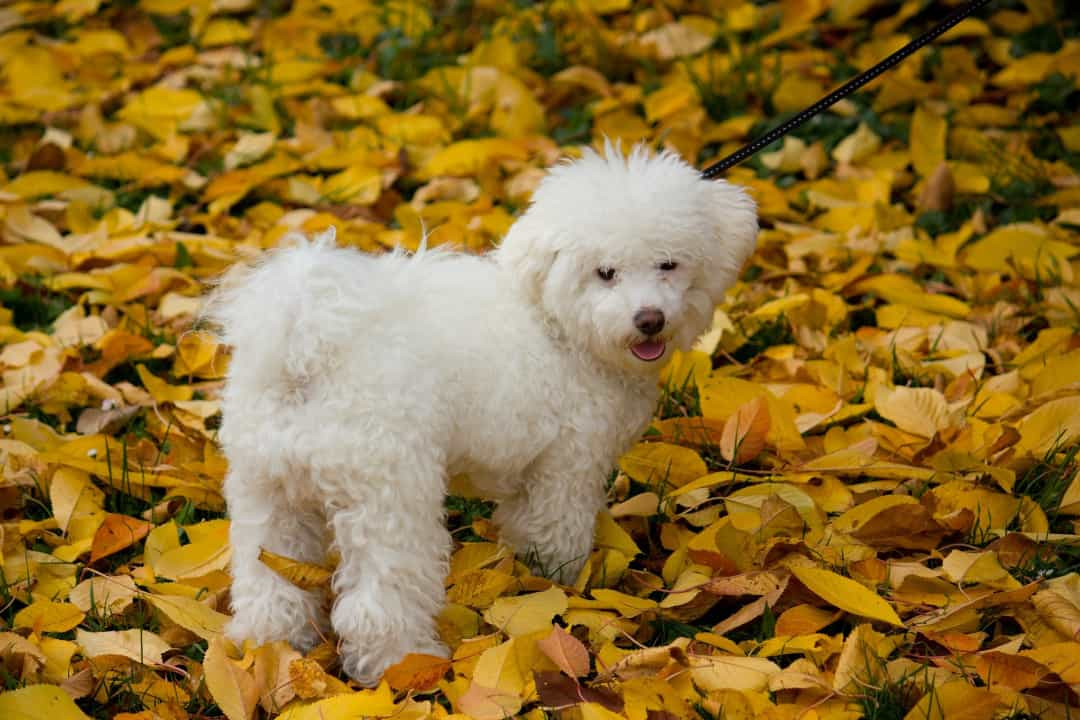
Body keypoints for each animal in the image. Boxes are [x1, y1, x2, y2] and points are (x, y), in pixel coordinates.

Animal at [206, 143, 756, 686]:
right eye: (605, 273)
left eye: (668, 264)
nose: (649, 320)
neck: (556, 321)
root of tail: (305, 344)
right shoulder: (566, 465)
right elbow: (555, 533)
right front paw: (560, 584)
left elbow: (520, 525)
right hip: (387, 493)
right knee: (380, 599)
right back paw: (403, 664)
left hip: (267, 490)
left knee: (268, 580)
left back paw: (269, 652)